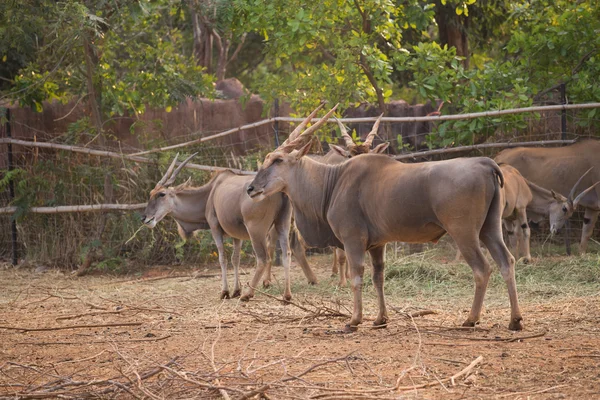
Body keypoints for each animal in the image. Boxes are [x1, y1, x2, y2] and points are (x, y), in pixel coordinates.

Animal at [139, 152, 318, 302]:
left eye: (161, 194)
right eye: (151, 194)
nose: (145, 218)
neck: (211, 192)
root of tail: (279, 190)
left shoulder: (215, 228)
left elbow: (223, 258)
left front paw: (226, 292)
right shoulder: (236, 236)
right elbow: (235, 259)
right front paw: (236, 290)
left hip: (256, 231)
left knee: (263, 258)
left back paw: (248, 294)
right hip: (282, 224)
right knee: (287, 253)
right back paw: (287, 295)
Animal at [246, 103, 524, 332]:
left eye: (277, 160)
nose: (250, 188)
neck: (333, 181)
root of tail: (486, 164)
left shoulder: (353, 240)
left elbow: (357, 275)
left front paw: (354, 321)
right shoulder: (378, 245)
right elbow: (378, 277)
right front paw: (381, 319)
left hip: (464, 233)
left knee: (482, 268)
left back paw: (471, 319)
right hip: (489, 229)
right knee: (507, 261)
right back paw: (515, 320)